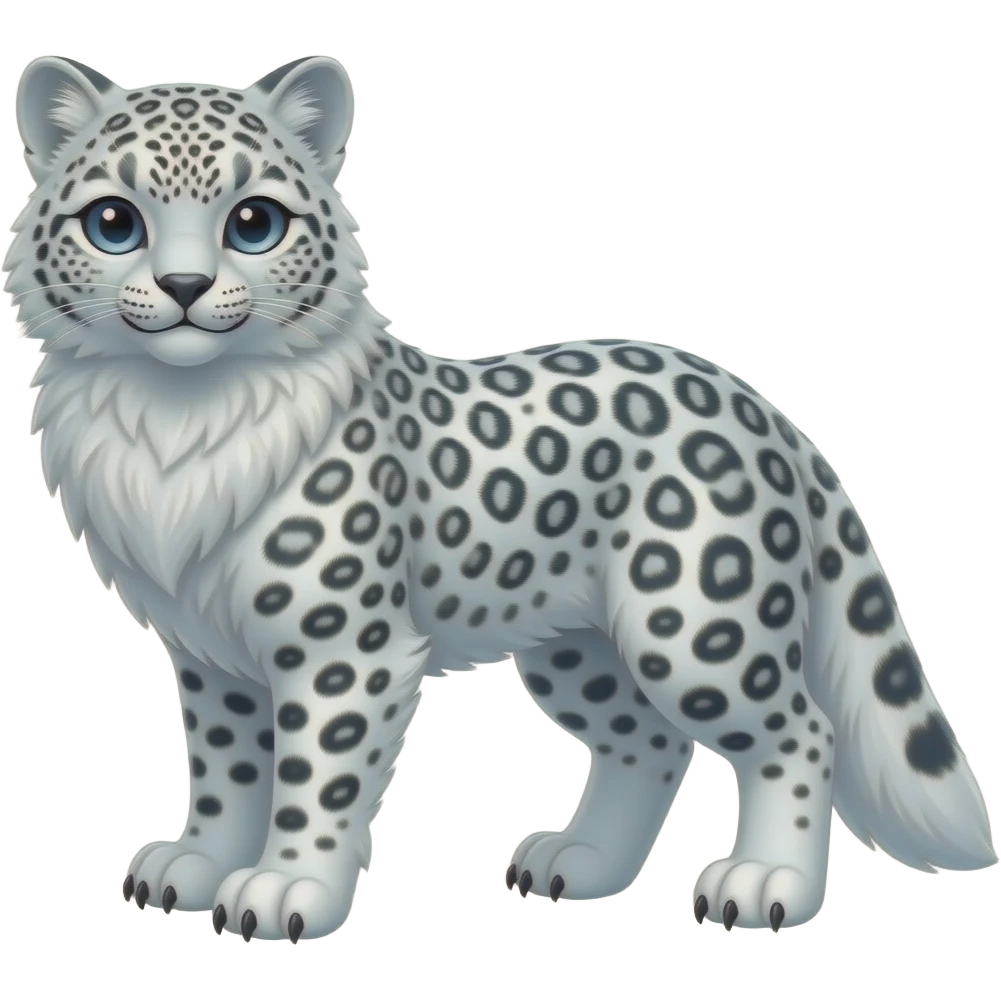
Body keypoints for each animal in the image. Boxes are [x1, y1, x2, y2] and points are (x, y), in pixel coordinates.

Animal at [5, 53, 996, 944]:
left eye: (253, 222)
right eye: (113, 221)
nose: (184, 288)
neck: (173, 422)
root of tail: (755, 402)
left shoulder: (343, 652)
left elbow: (316, 780)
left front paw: (287, 889)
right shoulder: (211, 653)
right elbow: (226, 770)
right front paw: (200, 862)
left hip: (693, 624)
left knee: (799, 731)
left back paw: (763, 883)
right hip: (577, 646)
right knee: (646, 741)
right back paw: (581, 862)